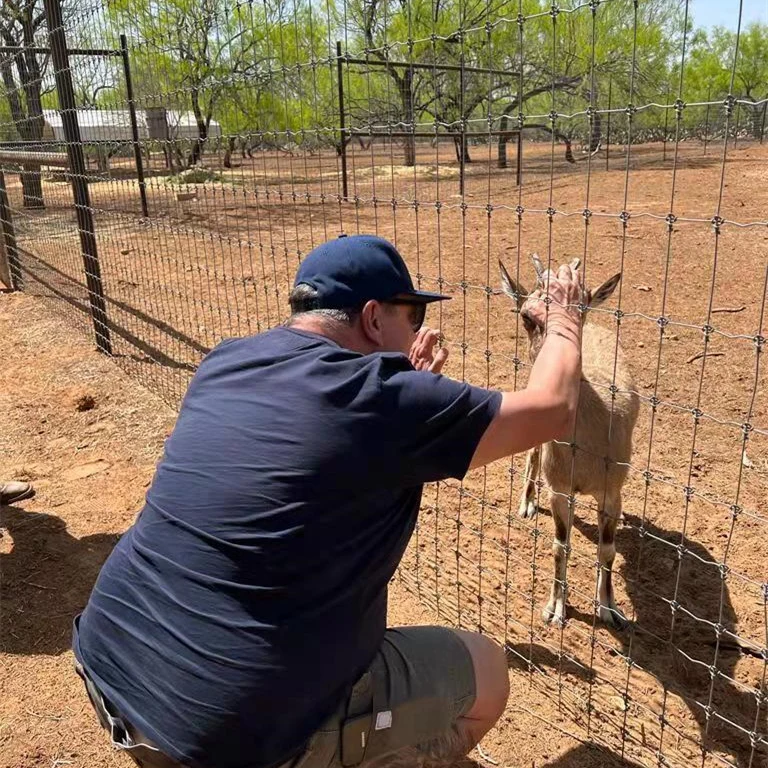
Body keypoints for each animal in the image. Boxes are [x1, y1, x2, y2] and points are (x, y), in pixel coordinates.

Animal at [500, 258, 640, 632]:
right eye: (527, 317)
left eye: (582, 306)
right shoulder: (560, 489)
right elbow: (560, 546)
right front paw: (555, 609)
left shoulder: (612, 492)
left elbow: (607, 550)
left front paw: (610, 609)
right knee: (533, 452)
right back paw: (526, 504)